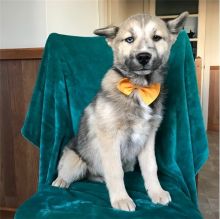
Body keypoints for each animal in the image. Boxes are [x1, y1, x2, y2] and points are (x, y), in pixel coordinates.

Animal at [52, 12, 188, 212]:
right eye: (129, 39)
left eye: (157, 37)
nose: (143, 57)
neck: (138, 88)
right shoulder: (110, 137)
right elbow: (115, 171)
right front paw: (121, 198)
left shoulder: (148, 137)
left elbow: (151, 167)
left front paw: (156, 192)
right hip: (75, 160)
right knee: (66, 172)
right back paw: (61, 181)